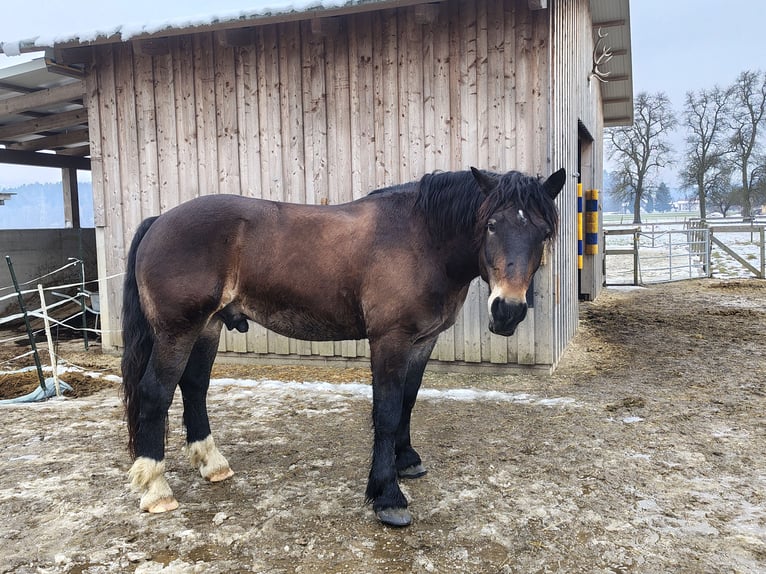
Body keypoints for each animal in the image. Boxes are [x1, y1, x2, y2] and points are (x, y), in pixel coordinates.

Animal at [121, 167, 565, 527]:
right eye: (491, 225)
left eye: (543, 233)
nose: (508, 310)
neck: (421, 238)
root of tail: (160, 220)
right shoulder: (390, 340)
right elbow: (387, 412)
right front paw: (387, 496)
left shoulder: (423, 341)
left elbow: (408, 401)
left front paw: (407, 461)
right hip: (178, 330)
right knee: (155, 393)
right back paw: (156, 489)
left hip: (208, 326)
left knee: (194, 388)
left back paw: (212, 465)